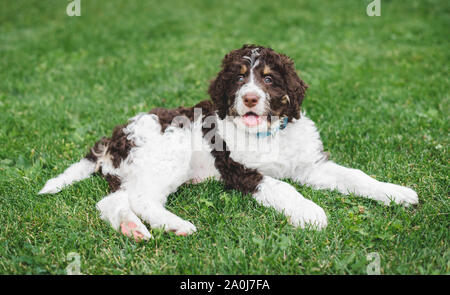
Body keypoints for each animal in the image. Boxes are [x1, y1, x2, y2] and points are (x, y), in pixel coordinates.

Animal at [39, 45, 418, 242]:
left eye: (269, 78)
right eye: (238, 78)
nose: (250, 98)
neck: (268, 134)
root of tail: (114, 137)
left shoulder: (312, 165)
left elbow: (356, 176)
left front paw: (396, 193)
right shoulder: (242, 171)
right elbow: (284, 188)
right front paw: (312, 213)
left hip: (135, 171)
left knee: (112, 201)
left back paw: (133, 229)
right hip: (168, 152)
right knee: (142, 199)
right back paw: (176, 225)